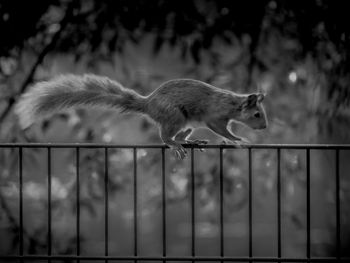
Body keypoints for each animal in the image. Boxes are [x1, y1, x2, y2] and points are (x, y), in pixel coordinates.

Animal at [15, 74, 268, 160]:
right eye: (257, 114)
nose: (264, 127)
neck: (232, 104)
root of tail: (149, 103)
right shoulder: (215, 117)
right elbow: (222, 129)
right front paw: (238, 139)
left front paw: (233, 139)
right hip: (174, 117)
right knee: (165, 136)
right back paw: (175, 144)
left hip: (186, 123)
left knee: (181, 134)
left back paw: (190, 141)